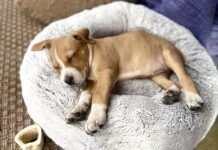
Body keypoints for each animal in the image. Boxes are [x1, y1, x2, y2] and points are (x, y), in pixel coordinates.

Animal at [31, 28, 203, 135]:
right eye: (56, 68)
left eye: (72, 56)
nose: (68, 80)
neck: (91, 55)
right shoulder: (92, 81)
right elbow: (85, 95)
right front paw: (78, 110)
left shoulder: (106, 75)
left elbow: (99, 96)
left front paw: (95, 117)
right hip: (156, 75)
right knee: (174, 84)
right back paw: (171, 94)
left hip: (169, 55)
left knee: (185, 78)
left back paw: (193, 98)